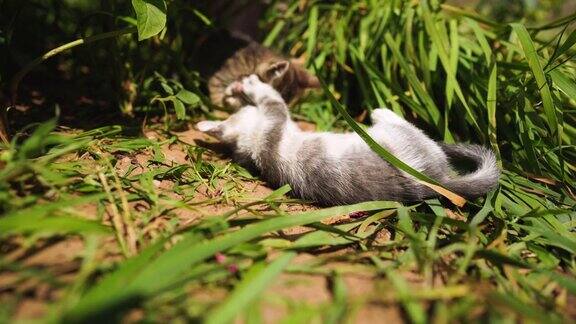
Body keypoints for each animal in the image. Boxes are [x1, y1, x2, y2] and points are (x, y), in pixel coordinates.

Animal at [198, 74, 500, 205]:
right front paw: (252, 84)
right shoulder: (276, 118)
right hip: (403, 138)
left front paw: (237, 89)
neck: (254, 148)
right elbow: (271, 96)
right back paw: (380, 112)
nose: (235, 91)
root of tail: (440, 181)